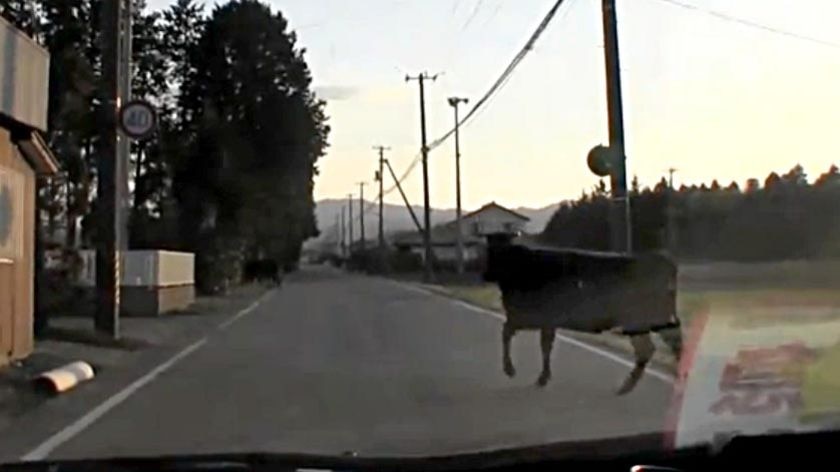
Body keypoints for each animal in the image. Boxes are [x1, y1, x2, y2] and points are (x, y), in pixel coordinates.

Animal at [486, 236, 684, 394]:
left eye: (495, 255)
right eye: (490, 251)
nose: (485, 275)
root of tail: (661, 258)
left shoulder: (528, 315)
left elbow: (507, 332)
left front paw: (510, 370)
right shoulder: (545, 321)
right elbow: (545, 345)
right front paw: (543, 377)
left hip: (641, 319)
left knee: (653, 348)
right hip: (649, 320)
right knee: (659, 347)